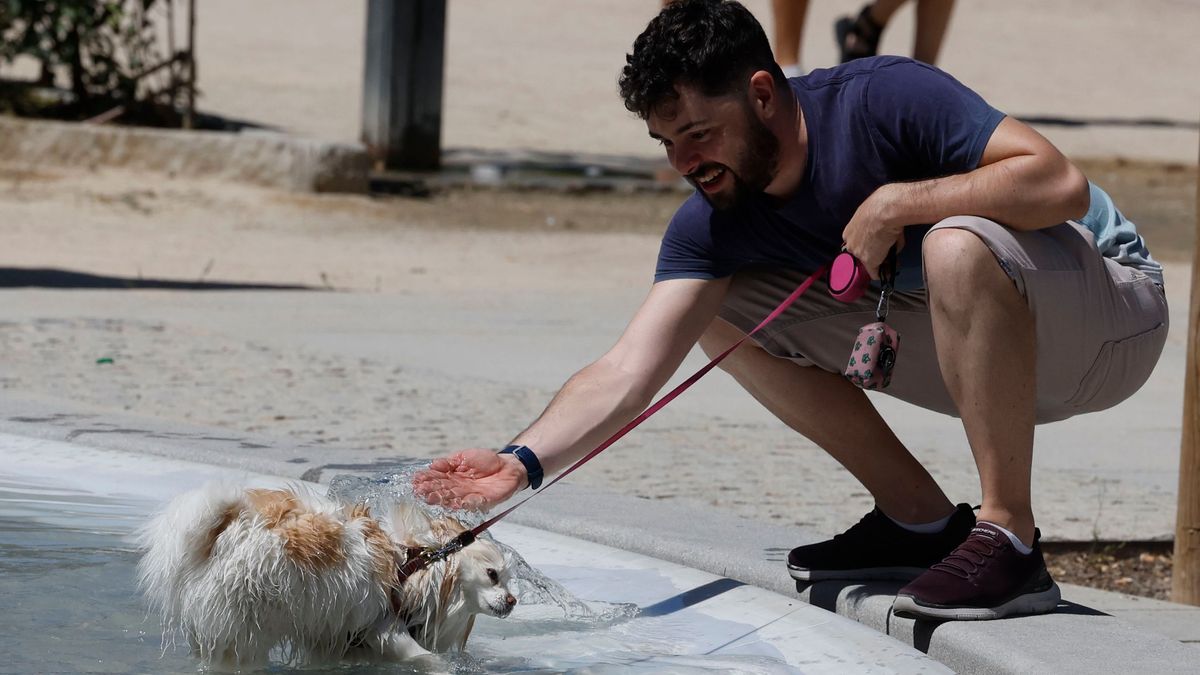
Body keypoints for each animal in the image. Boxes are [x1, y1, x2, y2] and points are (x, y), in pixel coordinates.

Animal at [138, 480, 513, 662]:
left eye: (510, 581)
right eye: (492, 574)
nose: (512, 601)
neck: (417, 568)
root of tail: (226, 529)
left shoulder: (343, 643)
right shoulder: (386, 631)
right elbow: (430, 662)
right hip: (244, 627)